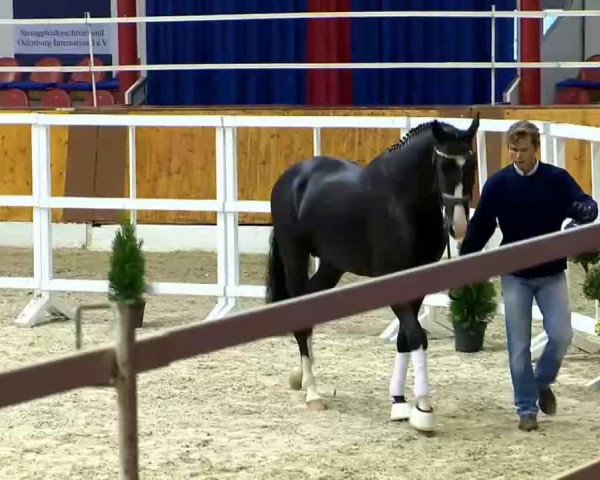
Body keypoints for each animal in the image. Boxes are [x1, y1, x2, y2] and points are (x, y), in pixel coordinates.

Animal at [264, 114, 480, 434]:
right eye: (443, 166)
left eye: (472, 164)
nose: (459, 226)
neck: (402, 202)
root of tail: (290, 177)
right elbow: (416, 336)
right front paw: (423, 410)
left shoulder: (417, 286)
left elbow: (405, 338)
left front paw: (399, 403)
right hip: (295, 257)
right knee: (300, 317)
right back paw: (313, 393)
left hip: (332, 265)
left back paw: (301, 376)